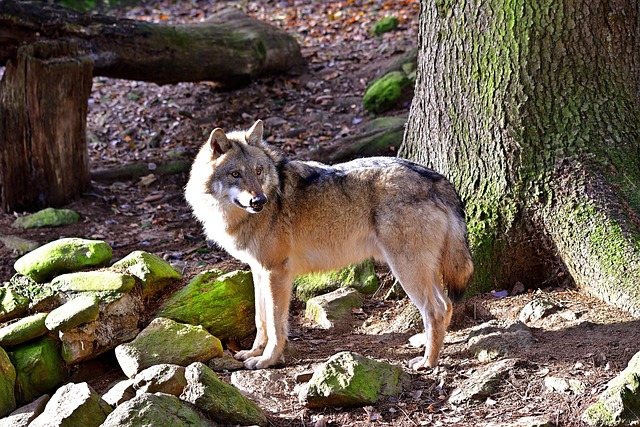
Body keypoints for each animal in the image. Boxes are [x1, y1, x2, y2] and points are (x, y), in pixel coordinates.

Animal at [182, 120, 472, 372]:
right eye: (235, 174)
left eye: (258, 171)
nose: (259, 201)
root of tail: (437, 179)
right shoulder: (258, 270)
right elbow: (260, 319)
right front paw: (253, 352)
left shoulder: (277, 272)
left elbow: (276, 325)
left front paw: (267, 360)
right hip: (422, 269)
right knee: (446, 305)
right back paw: (424, 343)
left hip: (405, 269)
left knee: (435, 310)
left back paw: (427, 362)